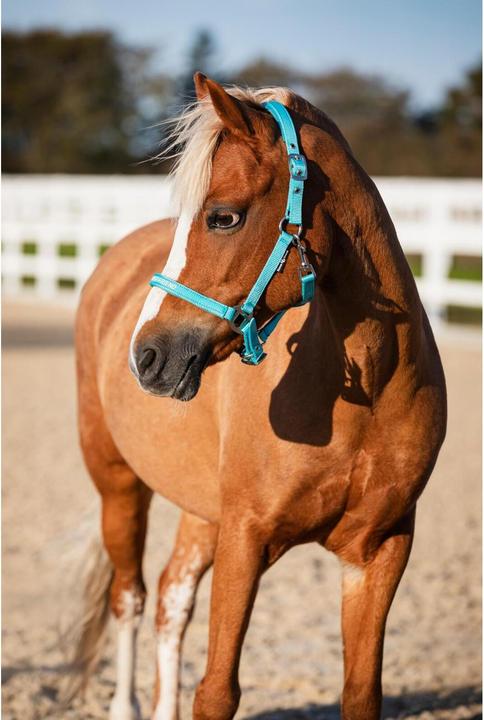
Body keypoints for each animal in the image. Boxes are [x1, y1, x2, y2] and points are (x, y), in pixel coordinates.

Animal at [67, 72, 447, 720]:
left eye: (223, 217)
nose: (146, 356)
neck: (367, 395)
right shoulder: (246, 539)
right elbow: (217, 691)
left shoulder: (380, 550)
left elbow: (361, 692)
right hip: (117, 485)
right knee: (131, 598)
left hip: (199, 510)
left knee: (170, 599)